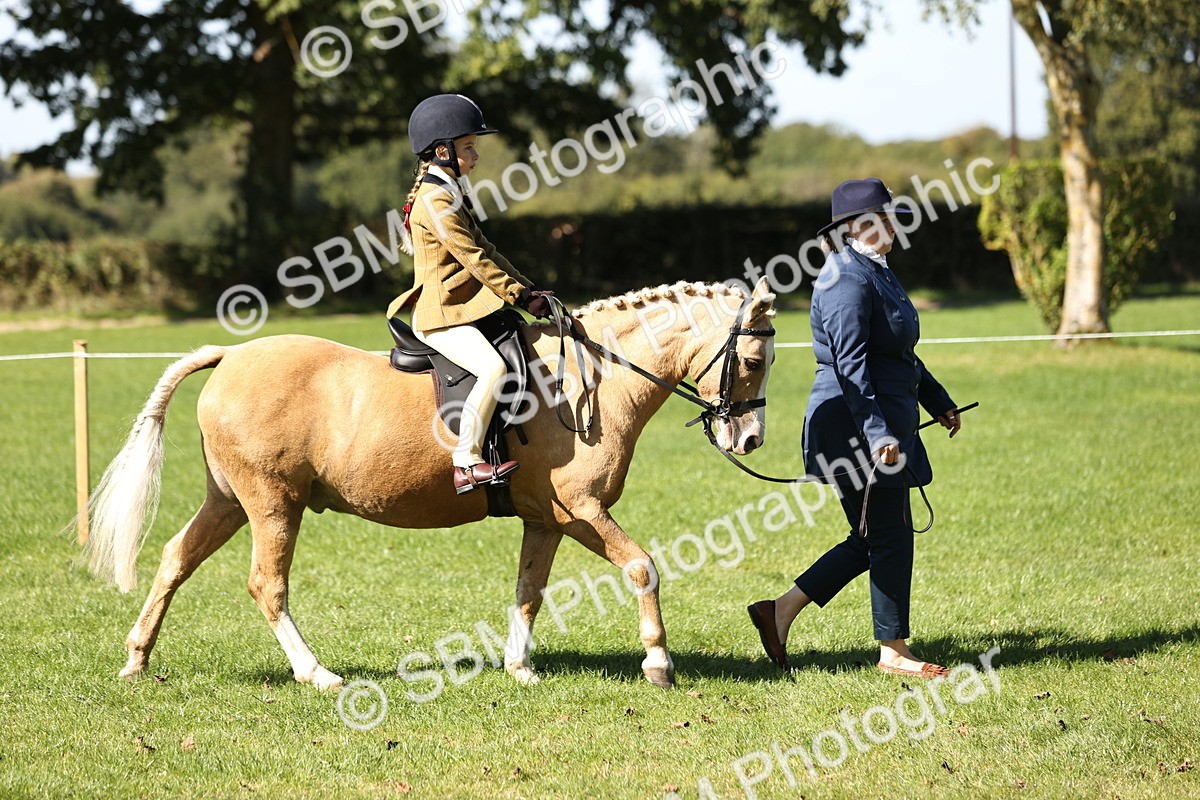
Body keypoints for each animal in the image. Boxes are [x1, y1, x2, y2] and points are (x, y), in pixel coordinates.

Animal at [82, 278, 777, 690]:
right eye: (752, 359)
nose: (748, 440)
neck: (586, 380)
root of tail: (229, 356)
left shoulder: (546, 520)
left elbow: (529, 591)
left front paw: (519, 668)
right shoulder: (580, 512)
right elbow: (642, 568)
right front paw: (658, 662)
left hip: (228, 502)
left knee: (175, 559)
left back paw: (137, 659)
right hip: (274, 505)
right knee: (266, 585)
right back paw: (317, 674)